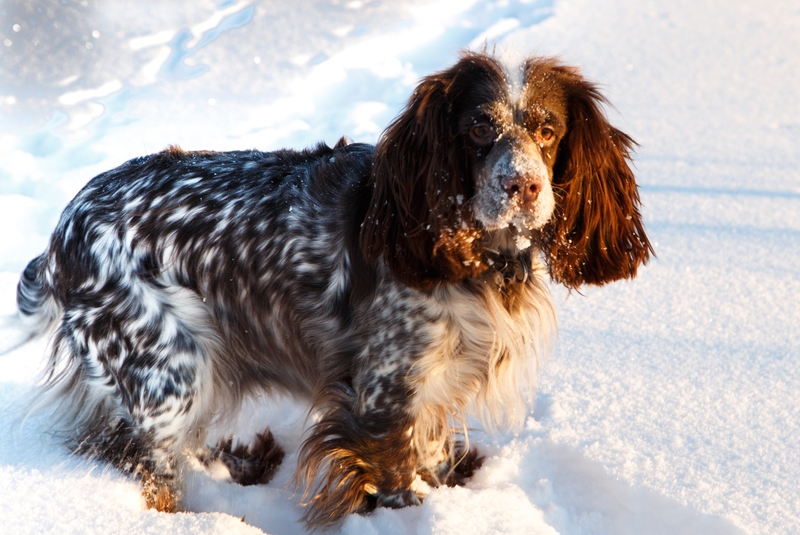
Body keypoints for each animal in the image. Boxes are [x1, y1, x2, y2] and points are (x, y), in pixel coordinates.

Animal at [10, 52, 648, 528]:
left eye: (548, 128)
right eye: (478, 127)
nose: (522, 185)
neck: (469, 253)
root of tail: (62, 232)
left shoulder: (435, 386)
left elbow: (430, 457)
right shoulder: (380, 396)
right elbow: (396, 483)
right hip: (168, 374)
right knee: (148, 469)